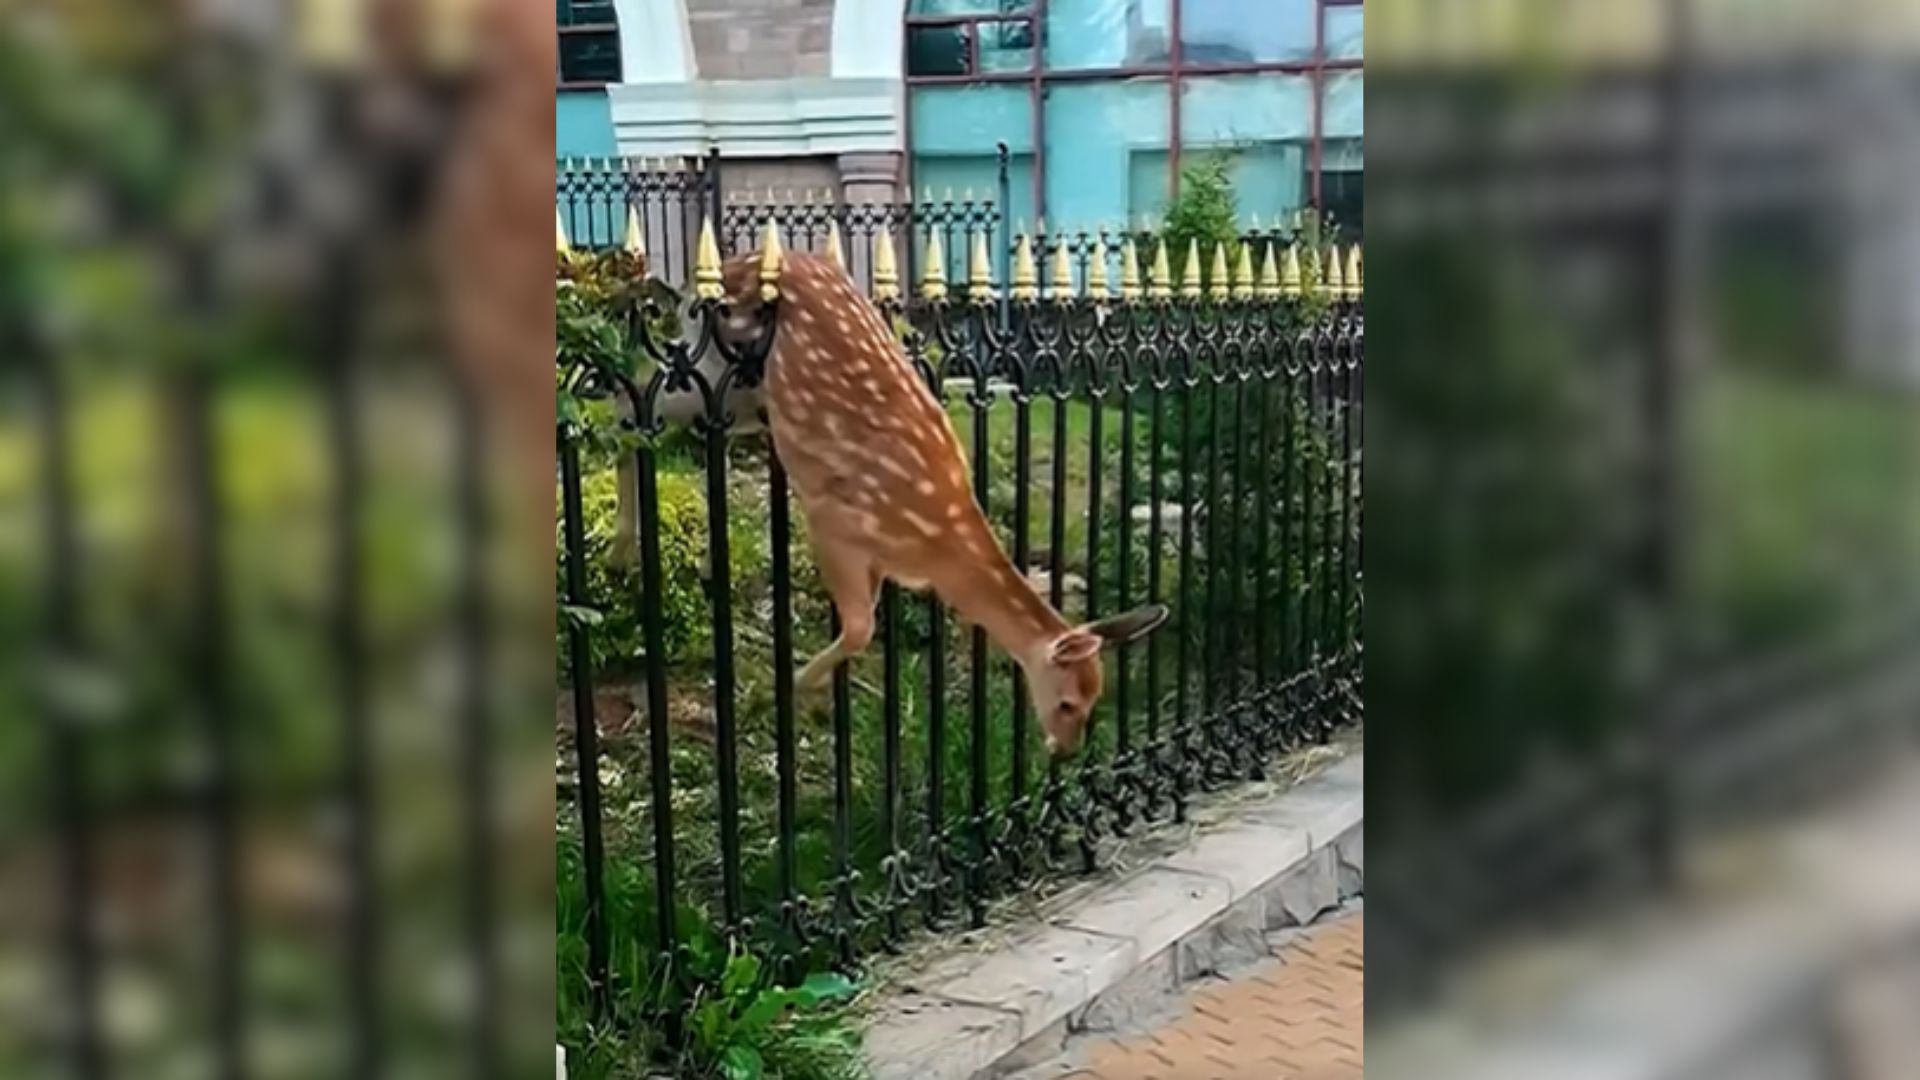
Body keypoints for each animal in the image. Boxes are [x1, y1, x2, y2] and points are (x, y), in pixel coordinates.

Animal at [721, 249, 1167, 757]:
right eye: (1069, 702)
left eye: (1097, 698)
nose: (1065, 749)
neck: (936, 548)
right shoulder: (834, 520)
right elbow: (859, 628)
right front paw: (784, 688)